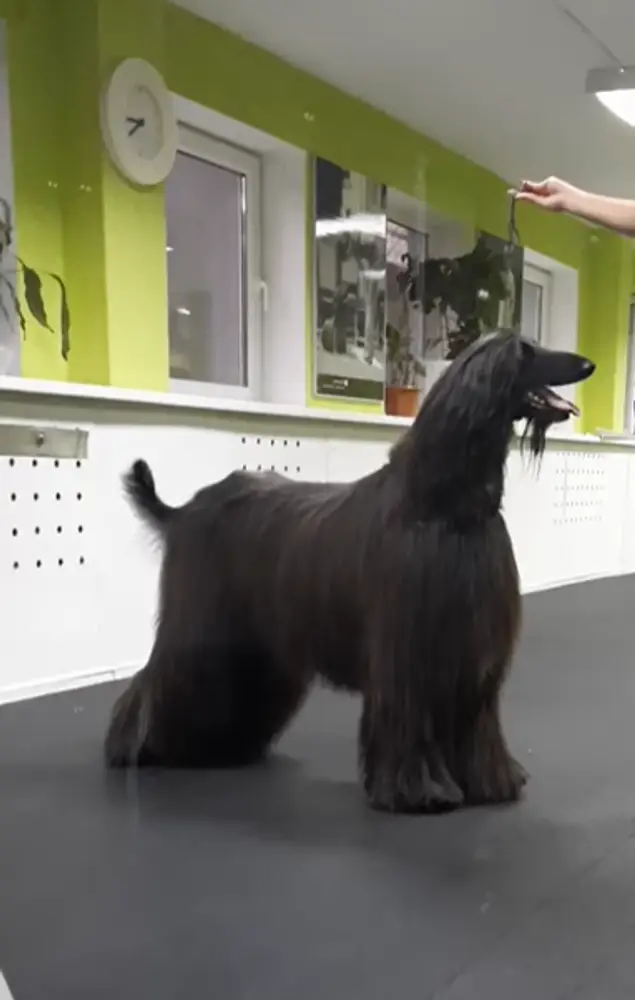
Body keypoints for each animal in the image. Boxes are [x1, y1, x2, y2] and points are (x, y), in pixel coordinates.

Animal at [105, 332, 594, 814]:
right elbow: (408, 715)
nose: (588, 365)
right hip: (200, 621)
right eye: (524, 351)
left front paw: (489, 783)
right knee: (158, 678)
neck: (448, 504)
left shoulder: (470, 648)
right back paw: (137, 748)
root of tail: (183, 510)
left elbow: (474, 720)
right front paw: (418, 791)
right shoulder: (408, 649)